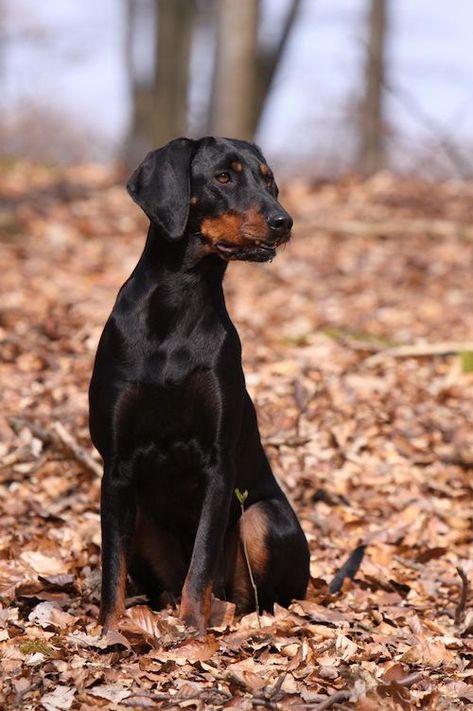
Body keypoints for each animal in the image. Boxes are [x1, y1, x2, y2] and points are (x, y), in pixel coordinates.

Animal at [88, 136, 310, 632]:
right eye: (223, 177)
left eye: (268, 180)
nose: (283, 221)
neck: (180, 299)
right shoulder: (116, 468)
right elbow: (113, 569)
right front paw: (109, 632)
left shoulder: (218, 464)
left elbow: (202, 562)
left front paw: (191, 632)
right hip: (144, 520)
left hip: (261, 517)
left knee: (253, 597)